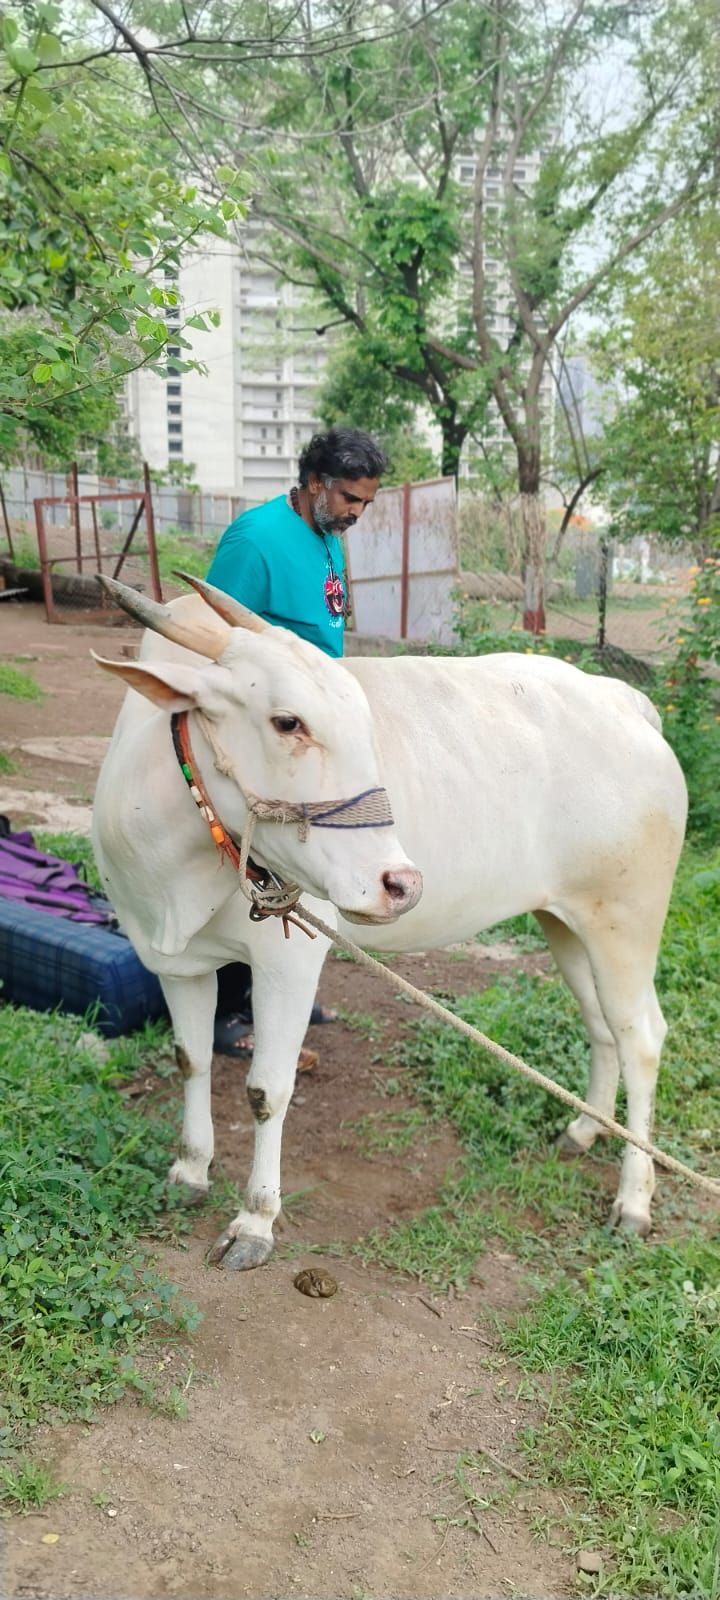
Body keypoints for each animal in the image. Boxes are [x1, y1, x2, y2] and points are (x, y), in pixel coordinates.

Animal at [92, 575, 687, 1268]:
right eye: (287, 722)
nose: (402, 884)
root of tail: (625, 701)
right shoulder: (175, 961)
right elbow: (192, 1060)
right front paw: (188, 1171)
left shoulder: (286, 964)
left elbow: (268, 1091)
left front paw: (255, 1220)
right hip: (565, 920)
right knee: (601, 1026)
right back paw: (584, 1130)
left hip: (626, 917)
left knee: (641, 1035)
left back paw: (635, 1199)